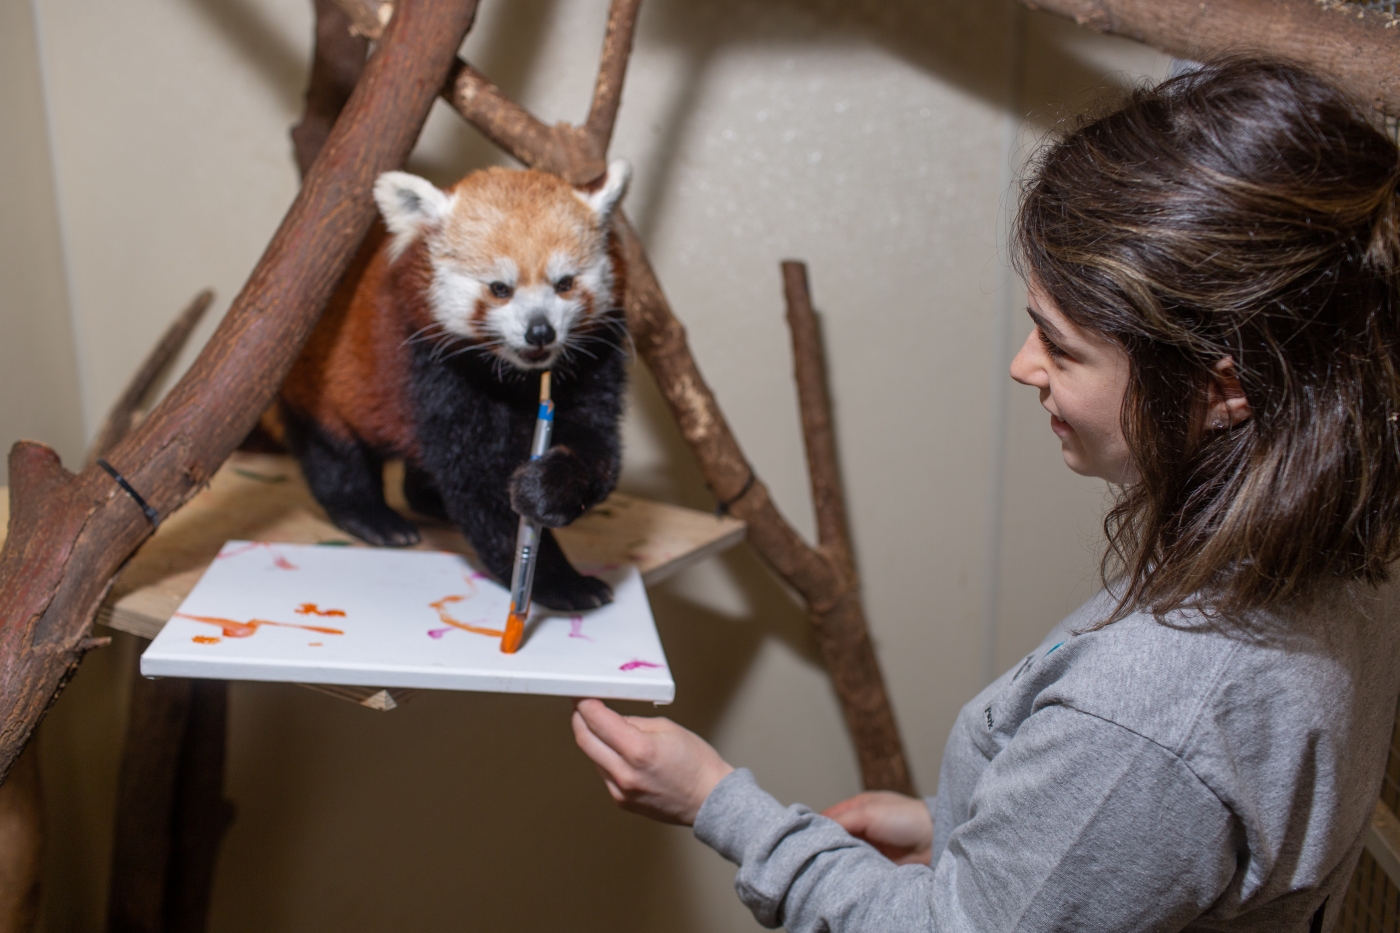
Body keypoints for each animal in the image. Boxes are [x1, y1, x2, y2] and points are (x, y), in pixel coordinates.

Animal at [278, 159, 630, 610]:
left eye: (565, 283)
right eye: (500, 289)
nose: (540, 332)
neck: (517, 376)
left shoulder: (595, 363)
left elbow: (597, 450)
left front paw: (547, 491)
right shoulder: (434, 371)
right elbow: (478, 485)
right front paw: (560, 581)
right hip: (322, 382)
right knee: (333, 452)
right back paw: (371, 517)